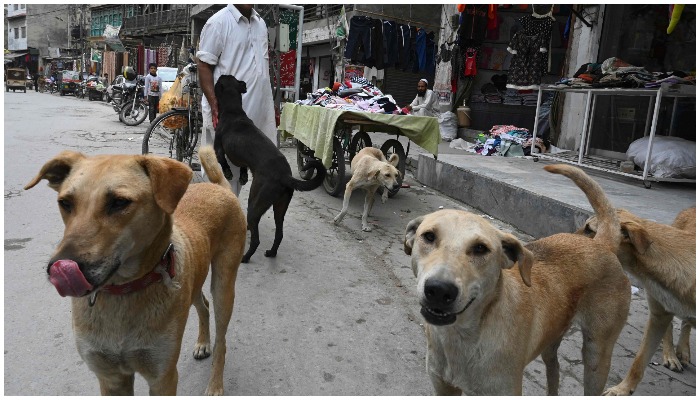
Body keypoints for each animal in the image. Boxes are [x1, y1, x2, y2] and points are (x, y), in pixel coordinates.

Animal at [23, 145, 246, 396]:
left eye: (120, 202)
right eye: (65, 203)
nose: (58, 267)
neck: (123, 291)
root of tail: (218, 186)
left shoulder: (163, 376)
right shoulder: (111, 377)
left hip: (224, 286)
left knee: (221, 339)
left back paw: (215, 384)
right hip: (194, 277)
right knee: (204, 305)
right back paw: (202, 343)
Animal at [213, 74, 326, 262]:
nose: (218, 75)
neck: (233, 111)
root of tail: (285, 176)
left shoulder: (219, 147)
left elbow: (223, 161)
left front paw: (228, 173)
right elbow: (243, 167)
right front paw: (243, 176)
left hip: (256, 201)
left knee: (256, 239)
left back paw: (245, 257)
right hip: (279, 206)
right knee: (279, 233)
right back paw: (271, 252)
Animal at [404, 164, 628, 396]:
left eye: (480, 248)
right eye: (429, 236)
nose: (439, 291)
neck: (462, 336)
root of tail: (602, 243)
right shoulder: (443, 386)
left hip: (596, 357)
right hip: (551, 340)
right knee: (554, 371)